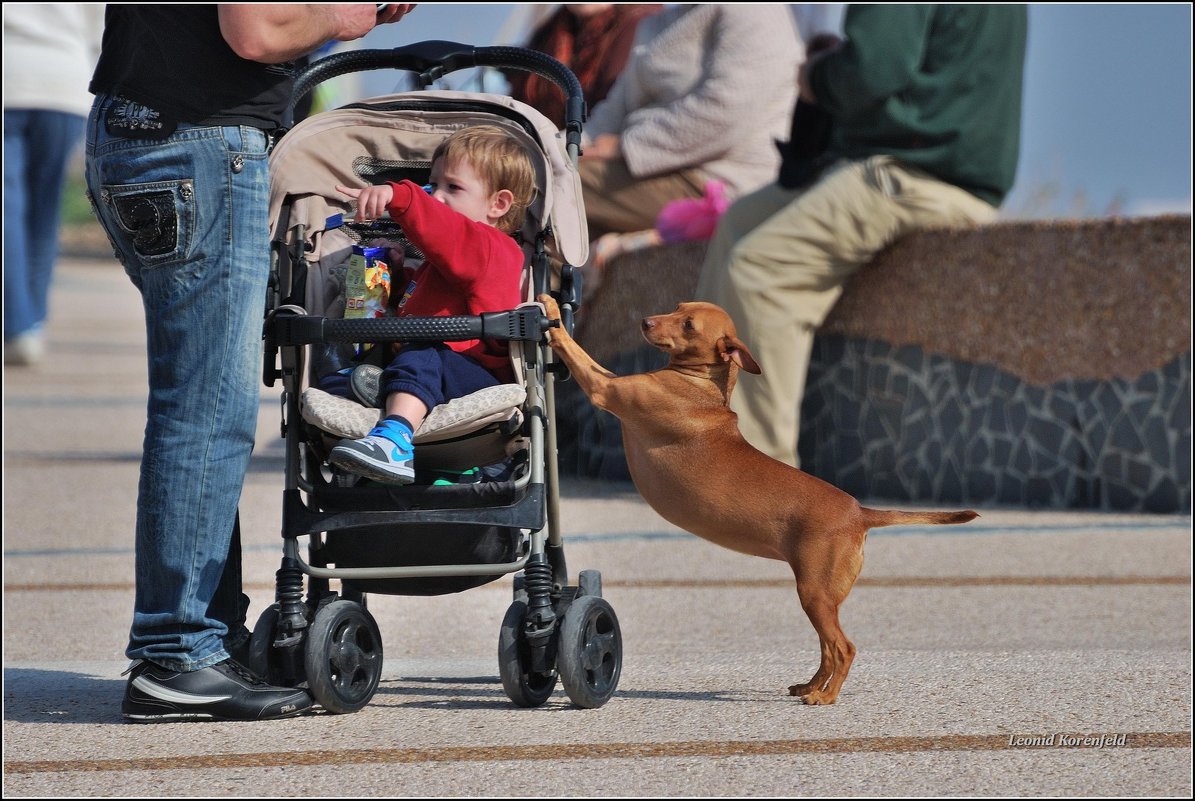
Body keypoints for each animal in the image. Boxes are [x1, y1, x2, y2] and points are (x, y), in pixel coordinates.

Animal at [540, 297, 970, 707]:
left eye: (689, 325)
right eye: (678, 307)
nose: (645, 321)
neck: (701, 384)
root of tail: (859, 512)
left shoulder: (604, 388)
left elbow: (576, 350)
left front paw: (549, 307)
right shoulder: (613, 382)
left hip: (814, 593)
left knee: (843, 648)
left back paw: (825, 696)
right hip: (822, 597)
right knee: (827, 649)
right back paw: (810, 686)